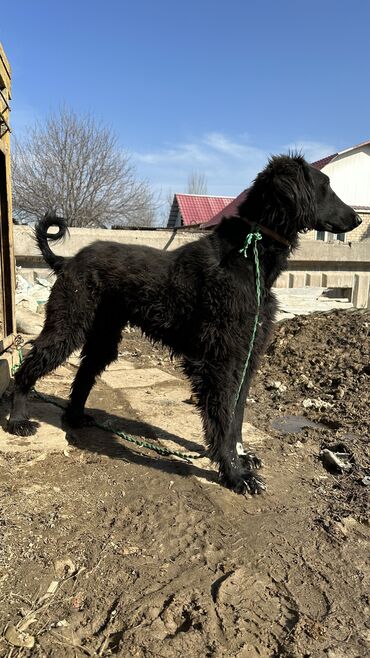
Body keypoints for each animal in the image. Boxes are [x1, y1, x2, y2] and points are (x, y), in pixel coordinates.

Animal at [7, 154, 360, 492]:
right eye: (325, 186)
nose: (357, 220)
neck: (249, 252)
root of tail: (67, 260)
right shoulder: (218, 361)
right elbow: (223, 418)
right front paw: (235, 474)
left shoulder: (246, 357)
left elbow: (237, 416)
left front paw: (242, 457)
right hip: (67, 326)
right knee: (27, 367)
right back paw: (17, 419)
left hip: (103, 337)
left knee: (82, 377)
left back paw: (76, 417)